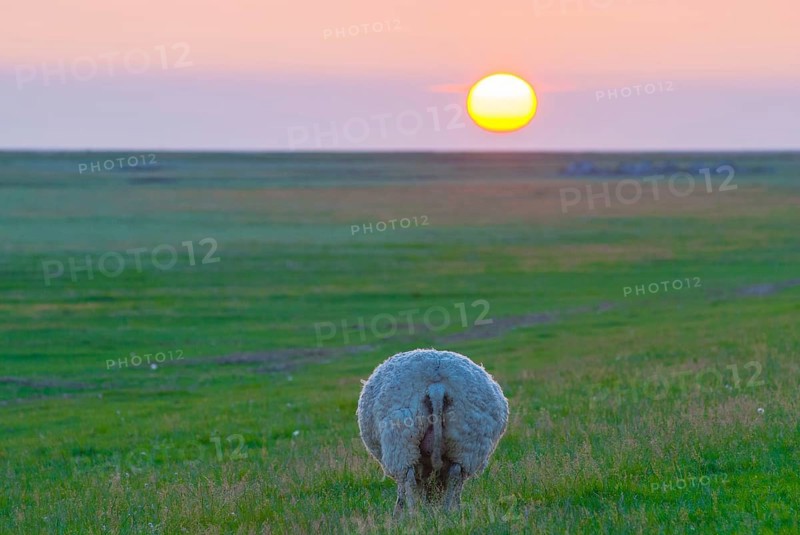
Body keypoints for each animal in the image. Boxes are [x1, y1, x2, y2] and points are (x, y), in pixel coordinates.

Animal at [356, 348, 509, 516]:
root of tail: (437, 384)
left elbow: (404, 488)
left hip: (402, 439)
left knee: (408, 477)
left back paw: (412, 514)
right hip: (467, 444)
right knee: (455, 475)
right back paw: (450, 510)